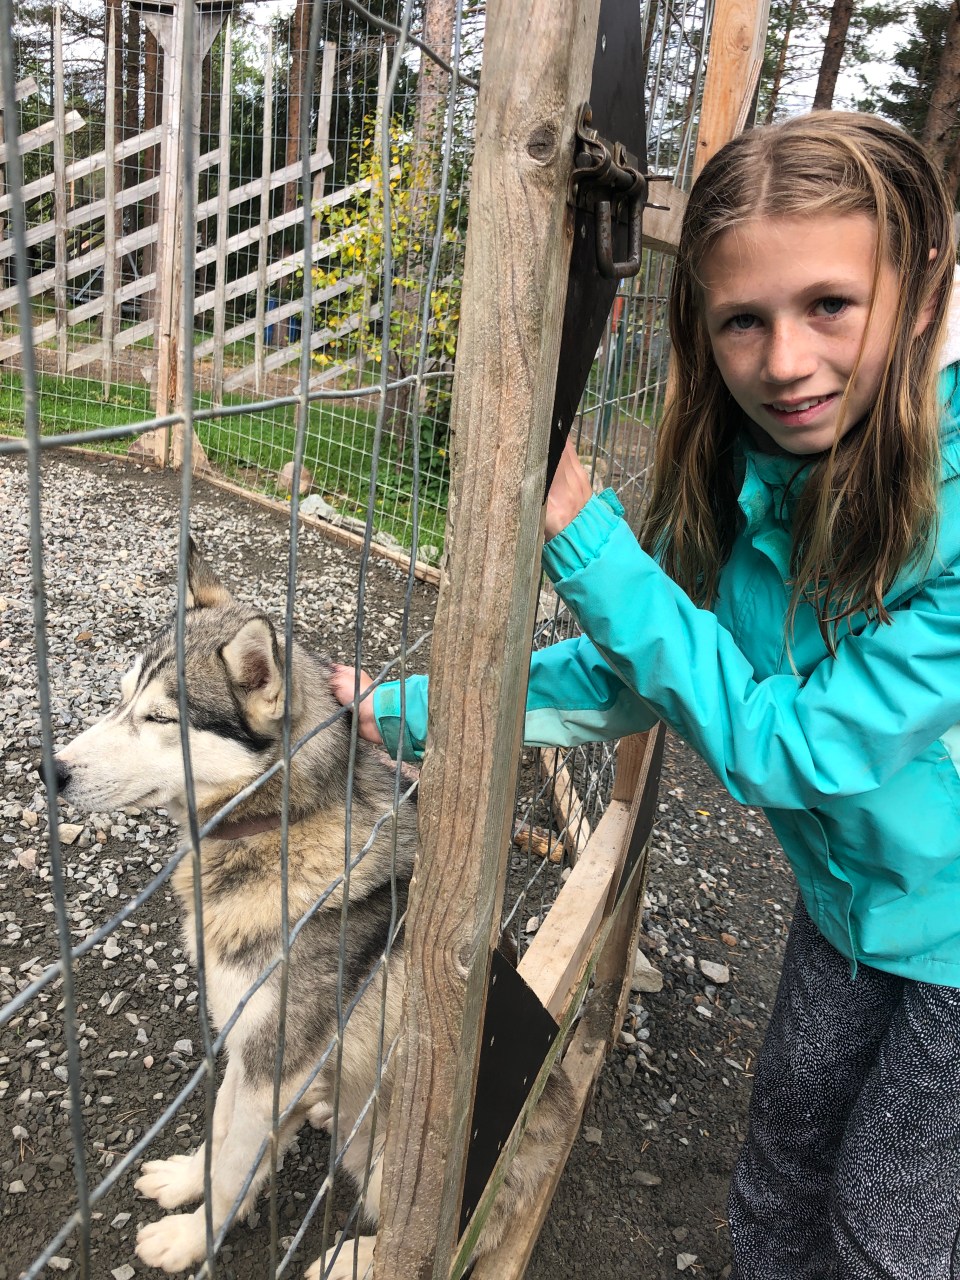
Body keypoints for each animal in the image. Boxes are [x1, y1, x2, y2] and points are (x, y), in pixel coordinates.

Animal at [53, 544, 571, 1277]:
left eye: (161, 720)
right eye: (123, 697)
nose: (54, 770)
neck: (280, 827)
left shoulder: (275, 1063)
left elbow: (234, 1166)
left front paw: (191, 1237)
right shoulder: (247, 1045)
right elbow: (221, 1134)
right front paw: (187, 1178)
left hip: (404, 1165)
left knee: (426, 1248)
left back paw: (351, 1258)